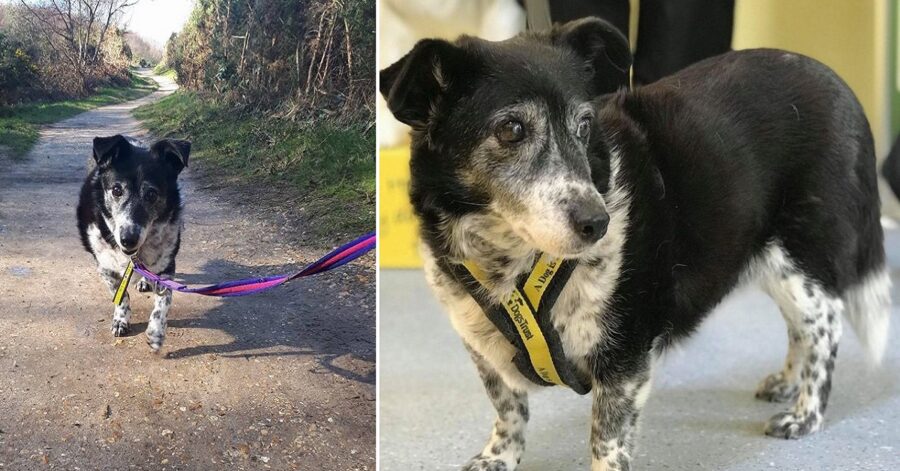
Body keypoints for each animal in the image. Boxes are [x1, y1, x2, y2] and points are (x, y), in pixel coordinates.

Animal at [77, 135, 190, 352]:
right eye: (116, 190)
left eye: (152, 194)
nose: (128, 239)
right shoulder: (105, 268)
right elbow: (121, 296)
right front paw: (121, 320)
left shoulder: (166, 266)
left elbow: (163, 301)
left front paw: (155, 332)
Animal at [382, 16, 892, 470]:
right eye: (511, 129)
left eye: (585, 125)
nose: (598, 223)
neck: (512, 262)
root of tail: (839, 85)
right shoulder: (485, 352)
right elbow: (509, 411)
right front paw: (498, 458)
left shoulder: (624, 361)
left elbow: (606, 443)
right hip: (770, 258)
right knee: (799, 328)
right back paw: (786, 383)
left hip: (800, 260)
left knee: (825, 325)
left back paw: (806, 412)